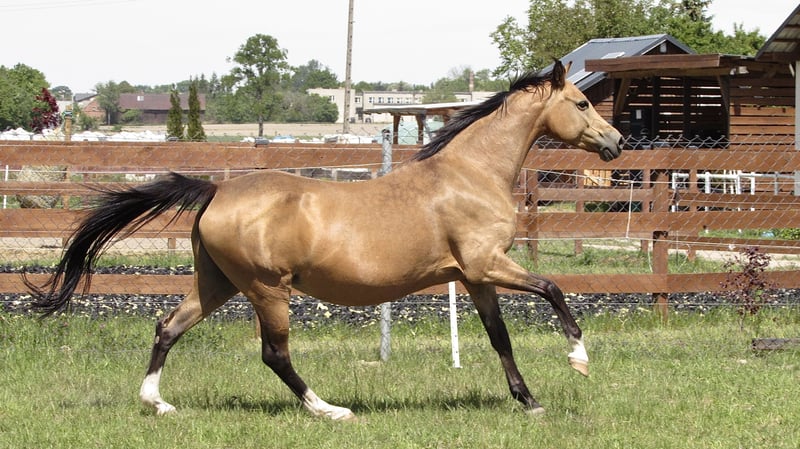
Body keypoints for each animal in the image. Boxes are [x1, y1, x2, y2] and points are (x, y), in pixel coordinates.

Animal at [27, 60, 623, 420]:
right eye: (581, 103)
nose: (617, 142)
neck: (470, 173)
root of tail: (217, 190)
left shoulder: (475, 278)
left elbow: (500, 338)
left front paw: (529, 402)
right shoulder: (487, 265)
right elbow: (552, 288)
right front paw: (579, 360)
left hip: (217, 283)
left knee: (167, 326)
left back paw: (158, 403)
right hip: (267, 290)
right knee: (274, 354)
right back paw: (328, 410)